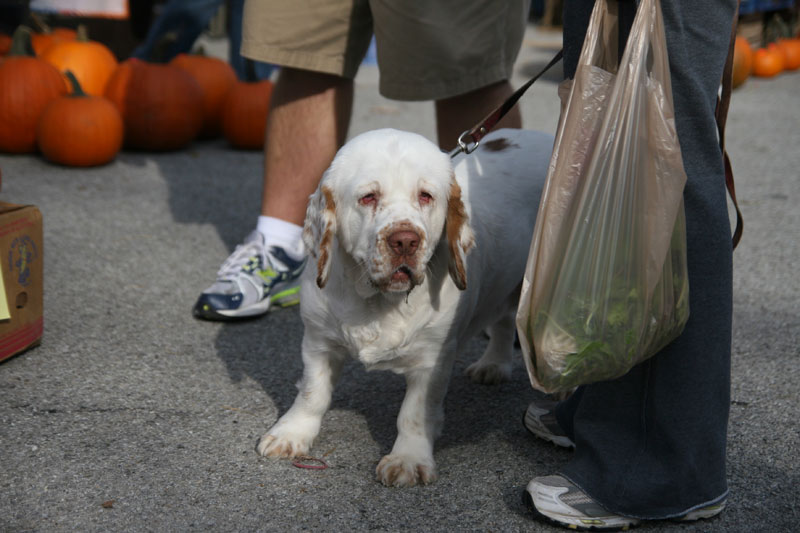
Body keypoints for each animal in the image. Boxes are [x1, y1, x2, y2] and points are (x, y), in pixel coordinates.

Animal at [260, 127, 552, 484]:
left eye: (425, 196)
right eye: (368, 197)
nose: (405, 241)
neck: (378, 300)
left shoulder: (432, 359)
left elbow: (413, 413)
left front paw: (408, 459)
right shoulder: (317, 342)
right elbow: (312, 393)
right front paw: (291, 433)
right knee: (504, 318)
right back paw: (493, 364)